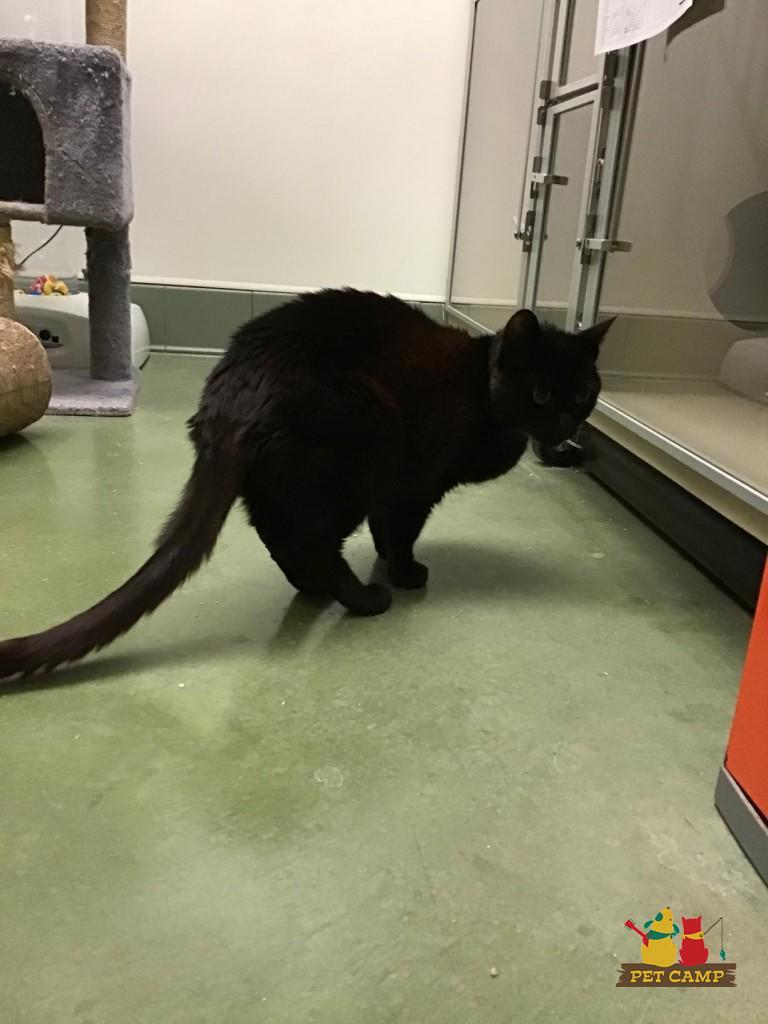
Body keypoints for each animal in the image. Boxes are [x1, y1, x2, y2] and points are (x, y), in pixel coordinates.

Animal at [0, 289, 613, 678]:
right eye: (541, 394)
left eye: (584, 392)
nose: (567, 423)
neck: (483, 393)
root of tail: (231, 398)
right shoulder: (414, 484)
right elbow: (401, 533)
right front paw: (404, 573)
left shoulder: (398, 489)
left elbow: (387, 531)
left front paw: (389, 562)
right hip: (367, 433)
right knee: (314, 541)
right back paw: (361, 599)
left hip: (287, 477)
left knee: (277, 531)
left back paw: (313, 587)